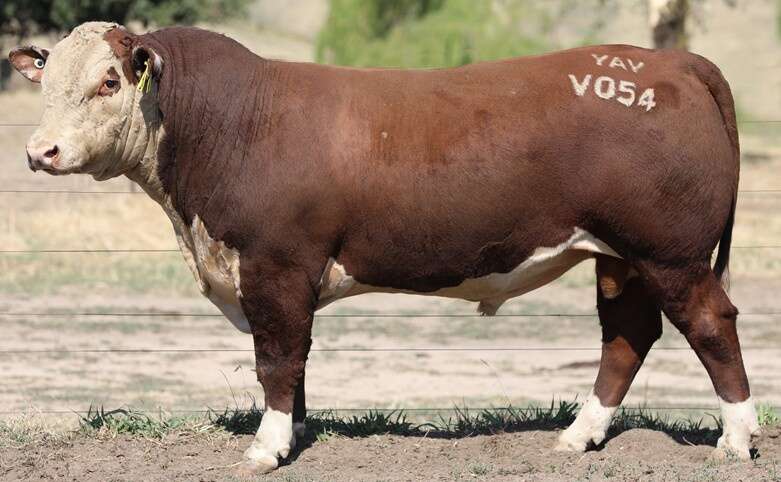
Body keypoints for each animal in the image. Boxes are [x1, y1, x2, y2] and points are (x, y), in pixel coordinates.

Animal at [9, 21, 757, 473]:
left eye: (109, 81)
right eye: (46, 83)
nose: (41, 152)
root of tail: (668, 61)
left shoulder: (276, 264)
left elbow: (277, 359)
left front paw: (267, 447)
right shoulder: (281, 275)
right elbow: (297, 362)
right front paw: (296, 434)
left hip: (669, 254)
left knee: (710, 325)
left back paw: (736, 438)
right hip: (618, 257)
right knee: (626, 335)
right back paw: (579, 436)